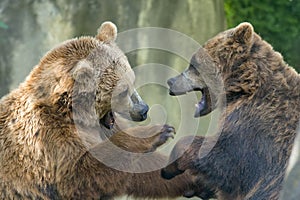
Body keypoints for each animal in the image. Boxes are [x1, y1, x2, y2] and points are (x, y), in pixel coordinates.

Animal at [0, 21, 204, 199]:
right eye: (122, 91)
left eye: (133, 80)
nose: (143, 109)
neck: (73, 113)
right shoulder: (49, 140)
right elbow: (80, 173)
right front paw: (156, 133)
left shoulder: (105, 127)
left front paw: (193, 175)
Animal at [162, 22, 300, 200]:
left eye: (193, 64)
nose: (171, 81)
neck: (243, 88)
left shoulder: (260, 126)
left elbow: (227, 159)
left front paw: (170, 167)